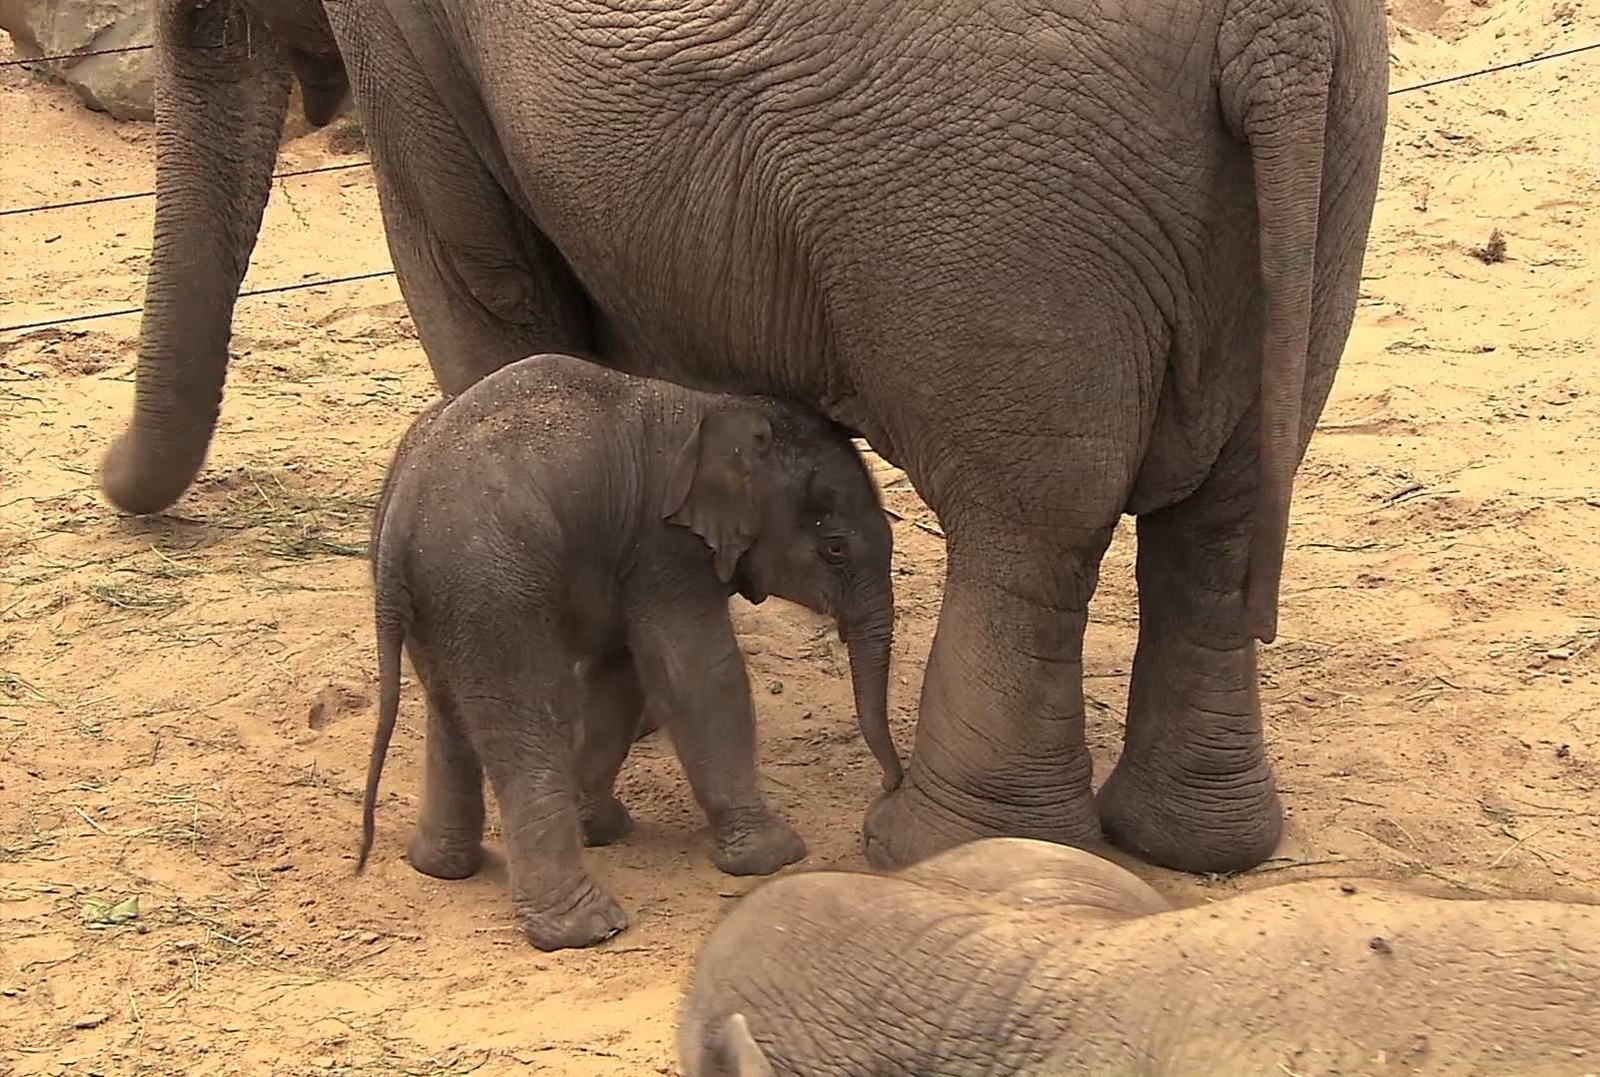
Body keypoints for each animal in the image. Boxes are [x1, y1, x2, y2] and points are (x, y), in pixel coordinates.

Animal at [109, 0, 1388, 870]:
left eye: (196, 21)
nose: (115, 486)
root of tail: (1280, 30)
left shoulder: (413, 53)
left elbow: (481, 285)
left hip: (1005, 215)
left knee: (1031, 531)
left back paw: (937, 850)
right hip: (1329, 171)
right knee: (1217, 523)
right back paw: (1188, 844)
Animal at [360, 352, 902, 947]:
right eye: (835, 550)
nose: (888, 789)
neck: (719, 406)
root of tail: (399, 520)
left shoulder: (626, 555)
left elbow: (622, 675)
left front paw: (601, 827)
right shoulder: (665, 549)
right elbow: (699, 675)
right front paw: (775, 857)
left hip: (444, 601)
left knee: (450, 706)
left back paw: (441, 867)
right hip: (492, 588)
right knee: (528, 719)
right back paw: (587, 927)